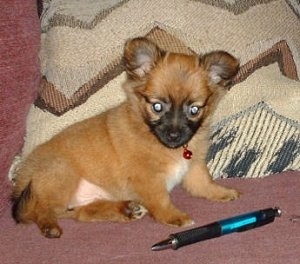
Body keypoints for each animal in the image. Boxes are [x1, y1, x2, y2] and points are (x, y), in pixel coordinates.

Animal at [11, 36, 240, 237]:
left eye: (194, 110)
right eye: (157, 106)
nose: (174, 135)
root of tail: (23, 175)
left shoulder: (193, 168)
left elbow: (204, 183)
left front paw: (222, 192)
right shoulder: (146, 178)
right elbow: (161, 200)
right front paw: (173, 216)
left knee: (80, 213)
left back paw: (125, 210)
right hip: (61, 172)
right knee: (40, 210)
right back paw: (49, 225)